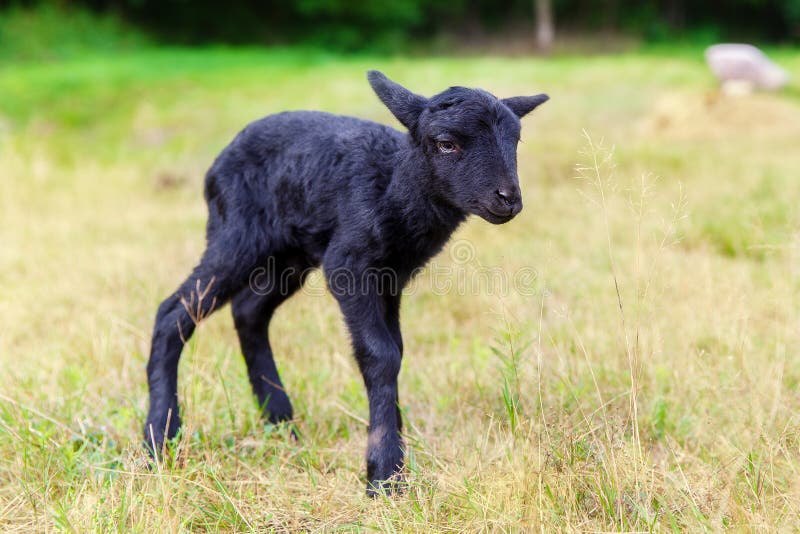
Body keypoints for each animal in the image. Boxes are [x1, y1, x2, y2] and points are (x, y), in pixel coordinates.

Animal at [144, 70, 548, 494]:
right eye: (446, 143)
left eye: (515, 140)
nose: (508, 198)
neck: (391, 189)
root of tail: (218, 162)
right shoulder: (349, 264)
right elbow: (380, 354)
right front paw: (385, 473)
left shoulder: (392, 275)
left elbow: (396, 349)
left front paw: (395, 448)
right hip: (236, 235)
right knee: (173, 313)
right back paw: (160, 437)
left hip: (289, 254)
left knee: (249, 311)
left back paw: (279, 421)